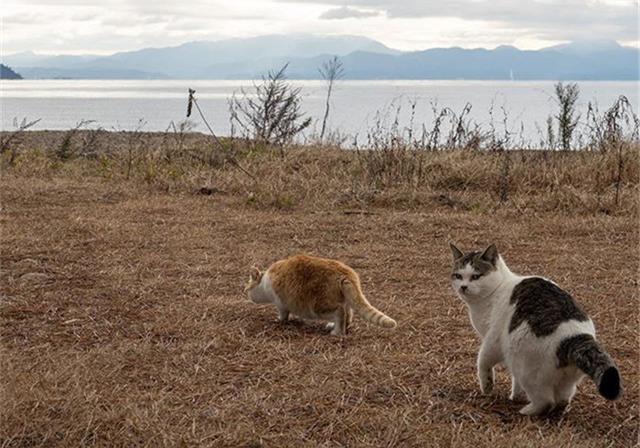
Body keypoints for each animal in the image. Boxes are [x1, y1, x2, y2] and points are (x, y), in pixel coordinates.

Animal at [244, 254, 396, 334]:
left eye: (247, 288)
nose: (246, 293)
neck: (265, 281)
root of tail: (345, 273)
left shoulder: (281, 303)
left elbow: (283, 314)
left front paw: (280, 320)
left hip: (318, 307)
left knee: (340, 312)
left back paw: (337, 333)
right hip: (345, 301)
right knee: (348, 315)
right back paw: (337, 327)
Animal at [450, 243, 620, 414]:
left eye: (475, 276)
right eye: (458, 276)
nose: (463, 287)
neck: (497, 289)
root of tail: (576, 338)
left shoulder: (493, 340)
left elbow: (483, 361)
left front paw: (487, 386)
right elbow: (515, 382)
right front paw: (516, 395)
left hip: (524, 365)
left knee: (545, 401)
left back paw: (527, 411)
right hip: (565, 380)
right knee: (563, 398)